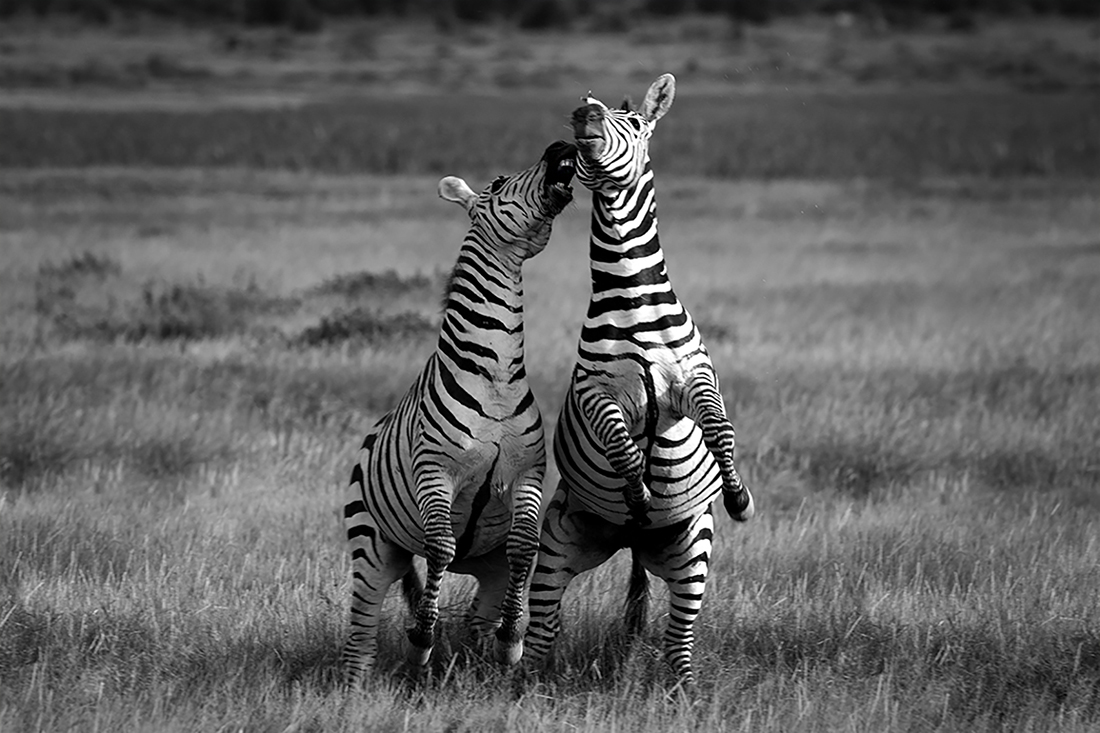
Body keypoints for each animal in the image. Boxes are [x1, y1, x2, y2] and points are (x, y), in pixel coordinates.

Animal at [342, 140, 577, 687]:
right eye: (498, 182)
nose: (562, 146)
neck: (494, 374)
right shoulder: (436, 472)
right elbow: (442, 548)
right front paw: (421, 642)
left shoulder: (526, 472)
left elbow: (525, 547)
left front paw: (512, 641)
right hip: (371, 546)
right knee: (361, 632)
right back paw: (353, 690)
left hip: (487, 568)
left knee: (476, 618)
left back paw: (480, 667)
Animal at [522, 74, 755, 688]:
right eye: (586, 110)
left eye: (634, 122)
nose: (584, 116)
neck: (632, 296)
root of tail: (631, 544)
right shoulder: (594, 390)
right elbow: (622, 445)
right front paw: (638, 490)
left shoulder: (691, 380)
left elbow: (719, 428)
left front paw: (738, 494)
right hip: (558, 545)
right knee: (542, 627)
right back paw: (522, 686)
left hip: (691, 550)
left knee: (679, 634)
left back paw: (684, 691)